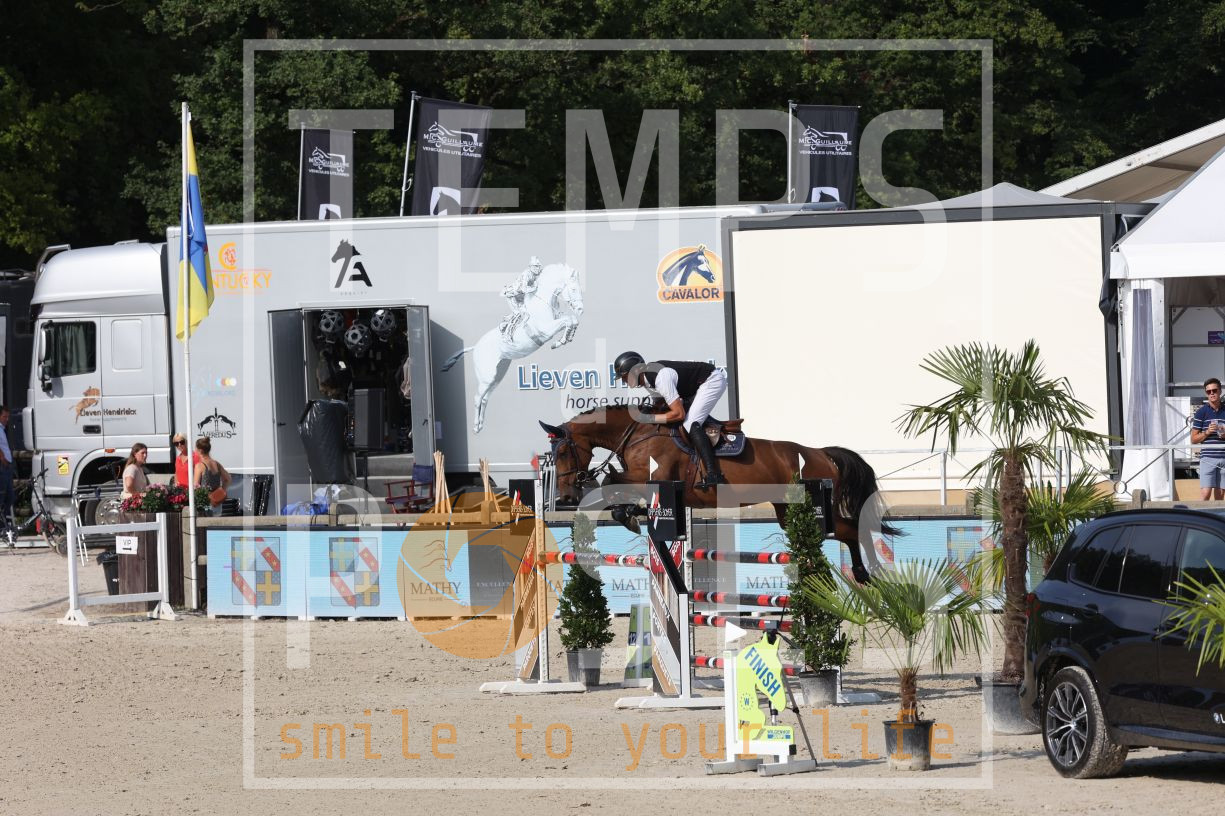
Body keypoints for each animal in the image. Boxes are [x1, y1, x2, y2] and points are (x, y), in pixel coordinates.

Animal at [442, 263, 584, 433]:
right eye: (574, 288)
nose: (581, 309)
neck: (543, 304)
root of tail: (476, 347)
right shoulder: (546, 330)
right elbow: (568, 320)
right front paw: (560, 342)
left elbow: (572, 320)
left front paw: (566, 338)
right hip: (486, 377)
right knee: (477, 398)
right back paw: (476, 427)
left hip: (497, 376)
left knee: (485, 398)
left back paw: (481, 424)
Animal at [538, 404, 899, 583]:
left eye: (564, 452)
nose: (566, 497)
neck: (638, 432)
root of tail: (821, 453)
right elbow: (614, 489)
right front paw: (629, 514)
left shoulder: (653, 477)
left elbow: (611, 484)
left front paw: (627, 515)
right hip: (787, 512)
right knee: (847, 530)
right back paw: (867, 574)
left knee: (852, 529)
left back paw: (870, 573)